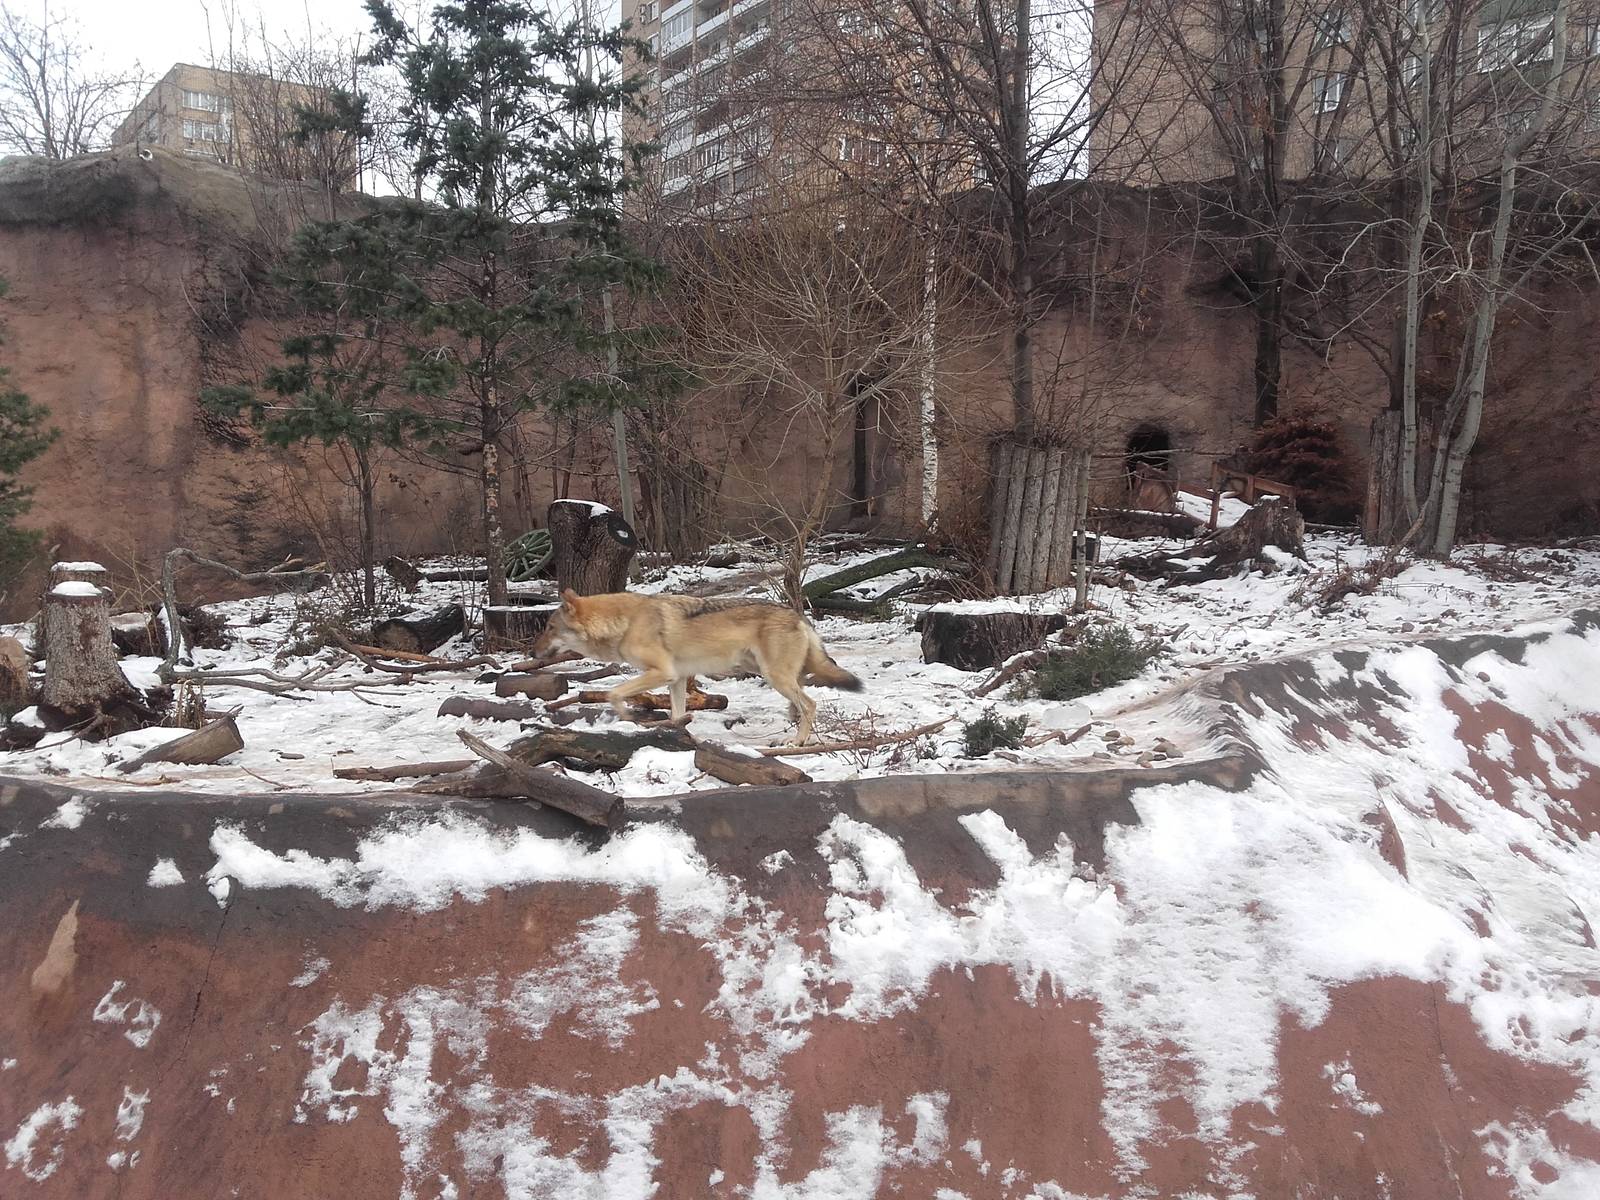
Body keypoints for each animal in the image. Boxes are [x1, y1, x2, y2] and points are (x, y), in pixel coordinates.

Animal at [531, 590, 862, 744]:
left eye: (549, 627)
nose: (533, 651)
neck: (624, 623)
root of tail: (798, 614)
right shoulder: (676, 679)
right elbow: (677, 714)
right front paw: (678, 734)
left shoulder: (662, 673)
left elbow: (614, 693)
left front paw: (627, 717)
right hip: (773, 673)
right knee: (803, 699)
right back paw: (793, 730)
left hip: (775, 676)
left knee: (811, 704)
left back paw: (796, 741)